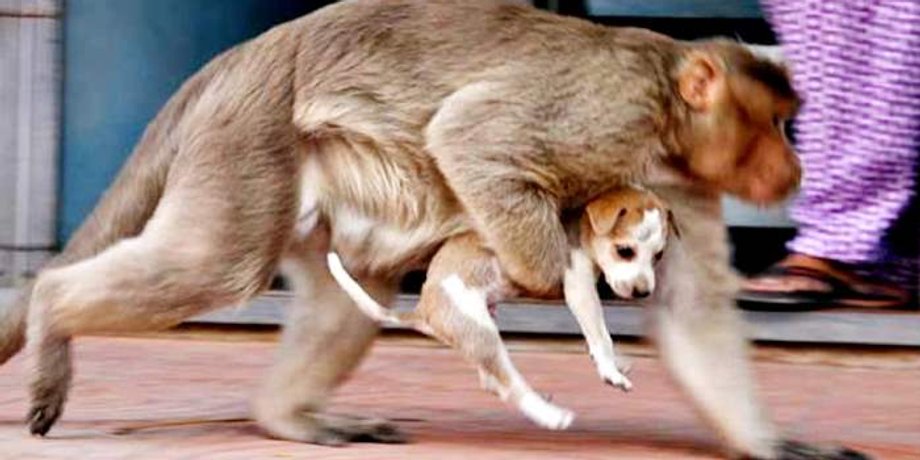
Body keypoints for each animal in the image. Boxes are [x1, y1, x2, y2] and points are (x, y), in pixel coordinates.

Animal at [0, 1, 864, 458]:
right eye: (776, 123)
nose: (793, 166)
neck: (664, 119)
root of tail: (241, 59)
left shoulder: (683, 186)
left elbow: (691, 312)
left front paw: (770, 443)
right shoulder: (606, 114)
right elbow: (470, 135)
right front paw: (550, 271)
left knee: (351, 291)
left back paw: (287, 416)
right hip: (249, 141)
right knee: (217, 262)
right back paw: (50, 305)